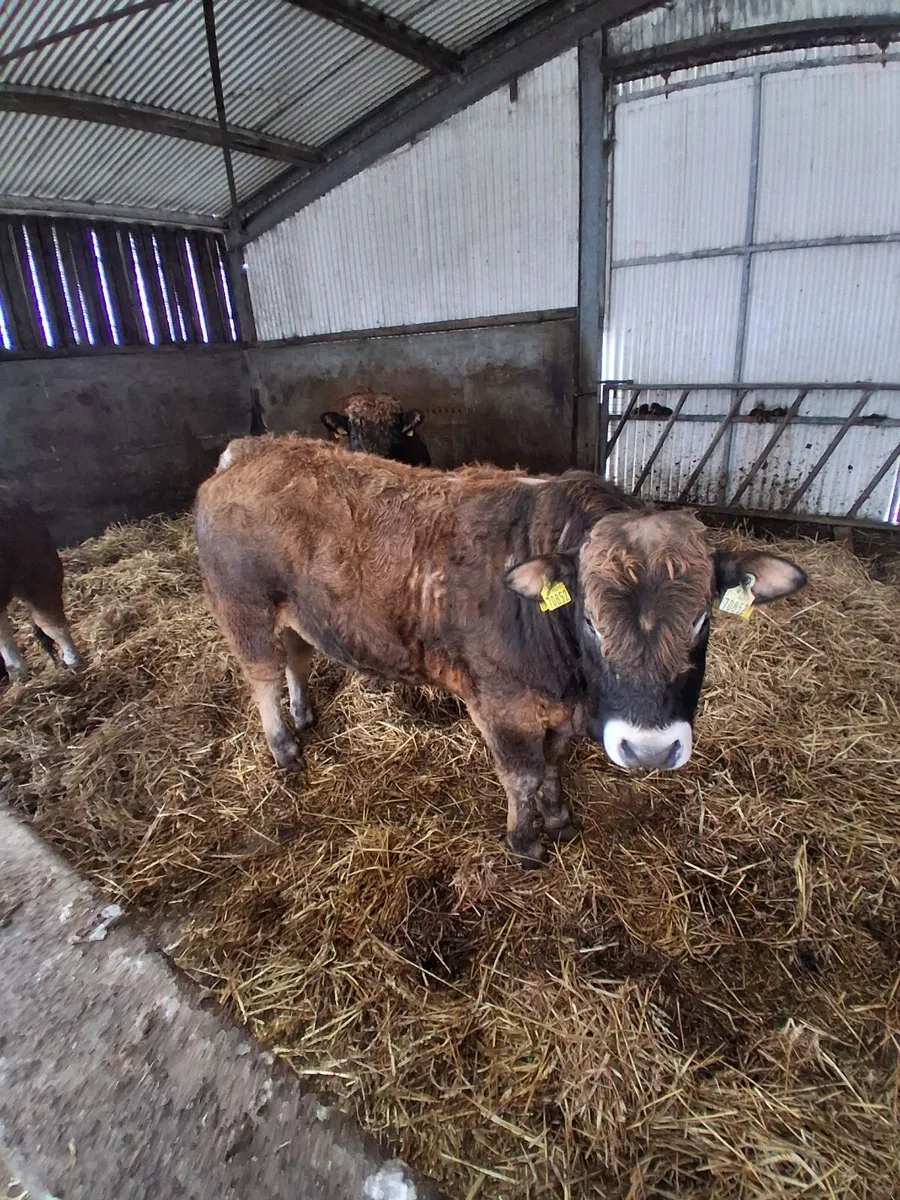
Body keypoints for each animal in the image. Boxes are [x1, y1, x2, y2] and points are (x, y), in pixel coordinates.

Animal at [194, 437, 807, 866]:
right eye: (591, 620)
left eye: (702, 619)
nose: (651, 751)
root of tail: (252, 450)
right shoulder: (502, 706)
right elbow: (523, 776)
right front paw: (524, 840)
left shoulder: (558, 711)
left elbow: (554, 763)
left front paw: (559, 817)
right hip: (244, 608)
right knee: (263, 676)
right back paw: (284, 747)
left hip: (298, 613)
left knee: (296, 657)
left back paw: (304, 714)